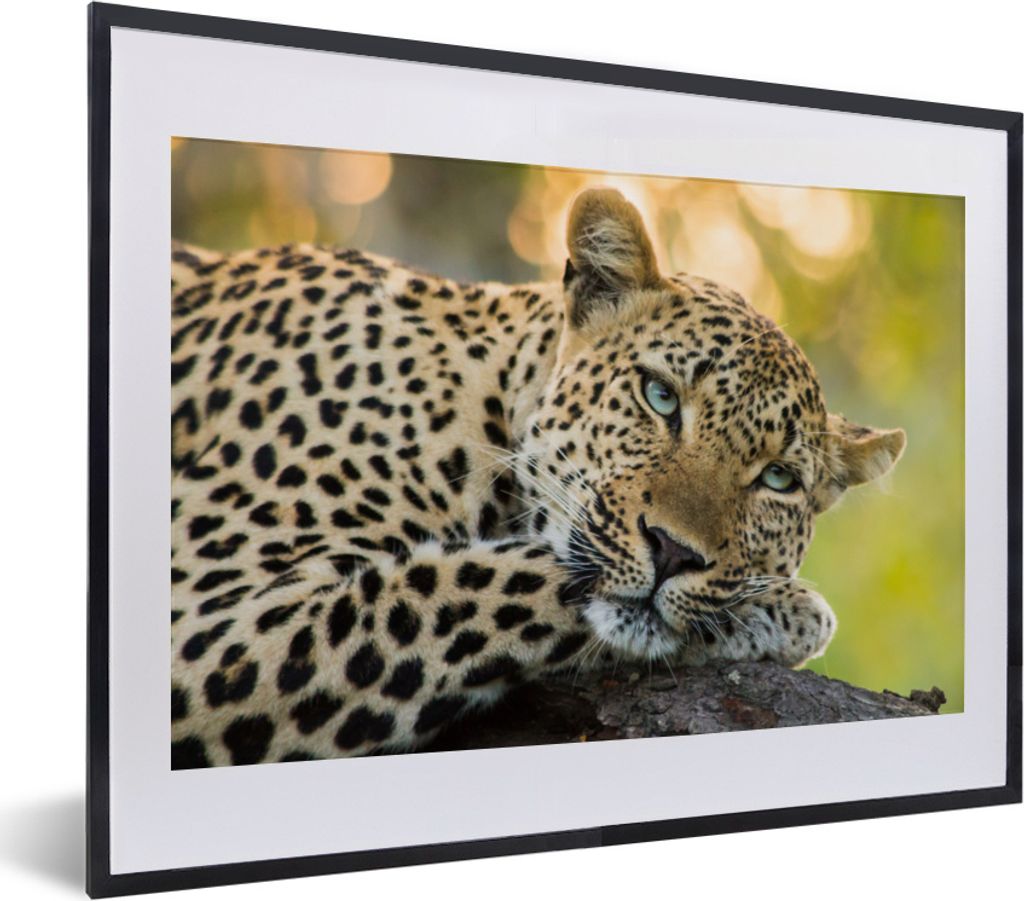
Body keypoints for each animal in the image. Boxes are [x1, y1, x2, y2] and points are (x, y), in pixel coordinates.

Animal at [170, 187, 905, 767]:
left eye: (778, 478)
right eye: (660, 396)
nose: (674, 552)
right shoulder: (210, 620)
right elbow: (469, 581)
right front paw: (786, 609)